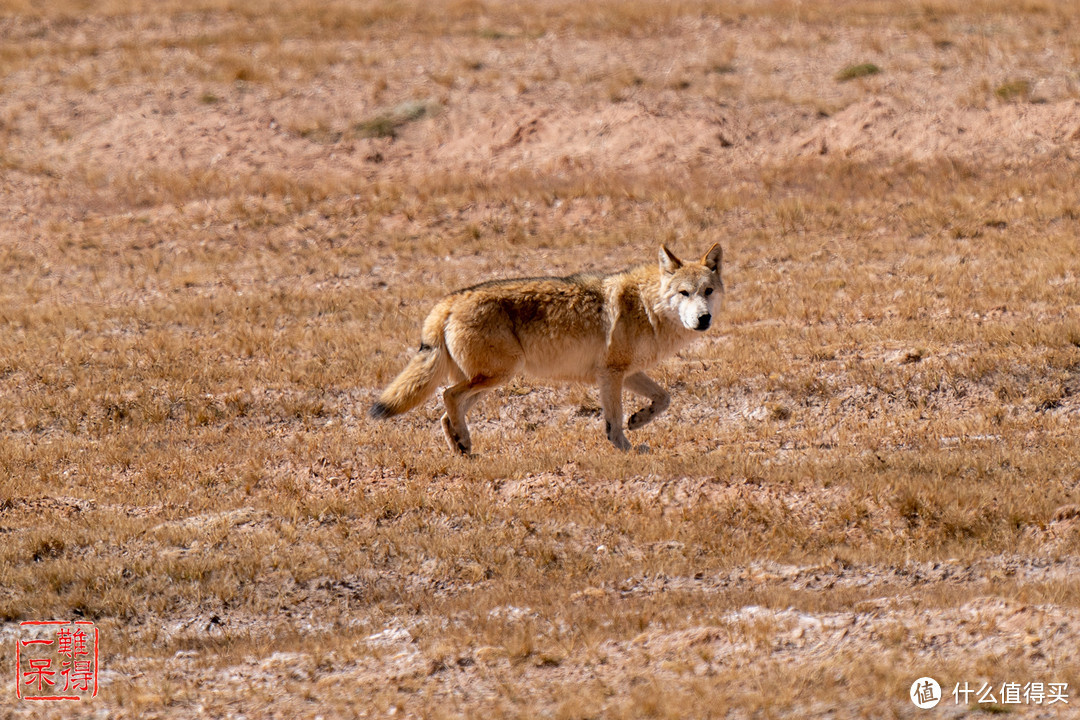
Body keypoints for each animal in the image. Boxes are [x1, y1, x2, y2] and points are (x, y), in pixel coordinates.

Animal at [371, 245, 725, 453]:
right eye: (684, 293)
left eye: (707, 291)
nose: (704, 319)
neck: (646, 306)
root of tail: (449, 300)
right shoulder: (611, 375)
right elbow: (613, 420)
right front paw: (626, 448)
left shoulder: (627, 373)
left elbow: (664, 398)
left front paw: (639, 421)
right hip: (497, 376)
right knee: (447, 397)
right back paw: (465, 443)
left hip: (488, 383)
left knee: (446, 413)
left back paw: (462, 451)